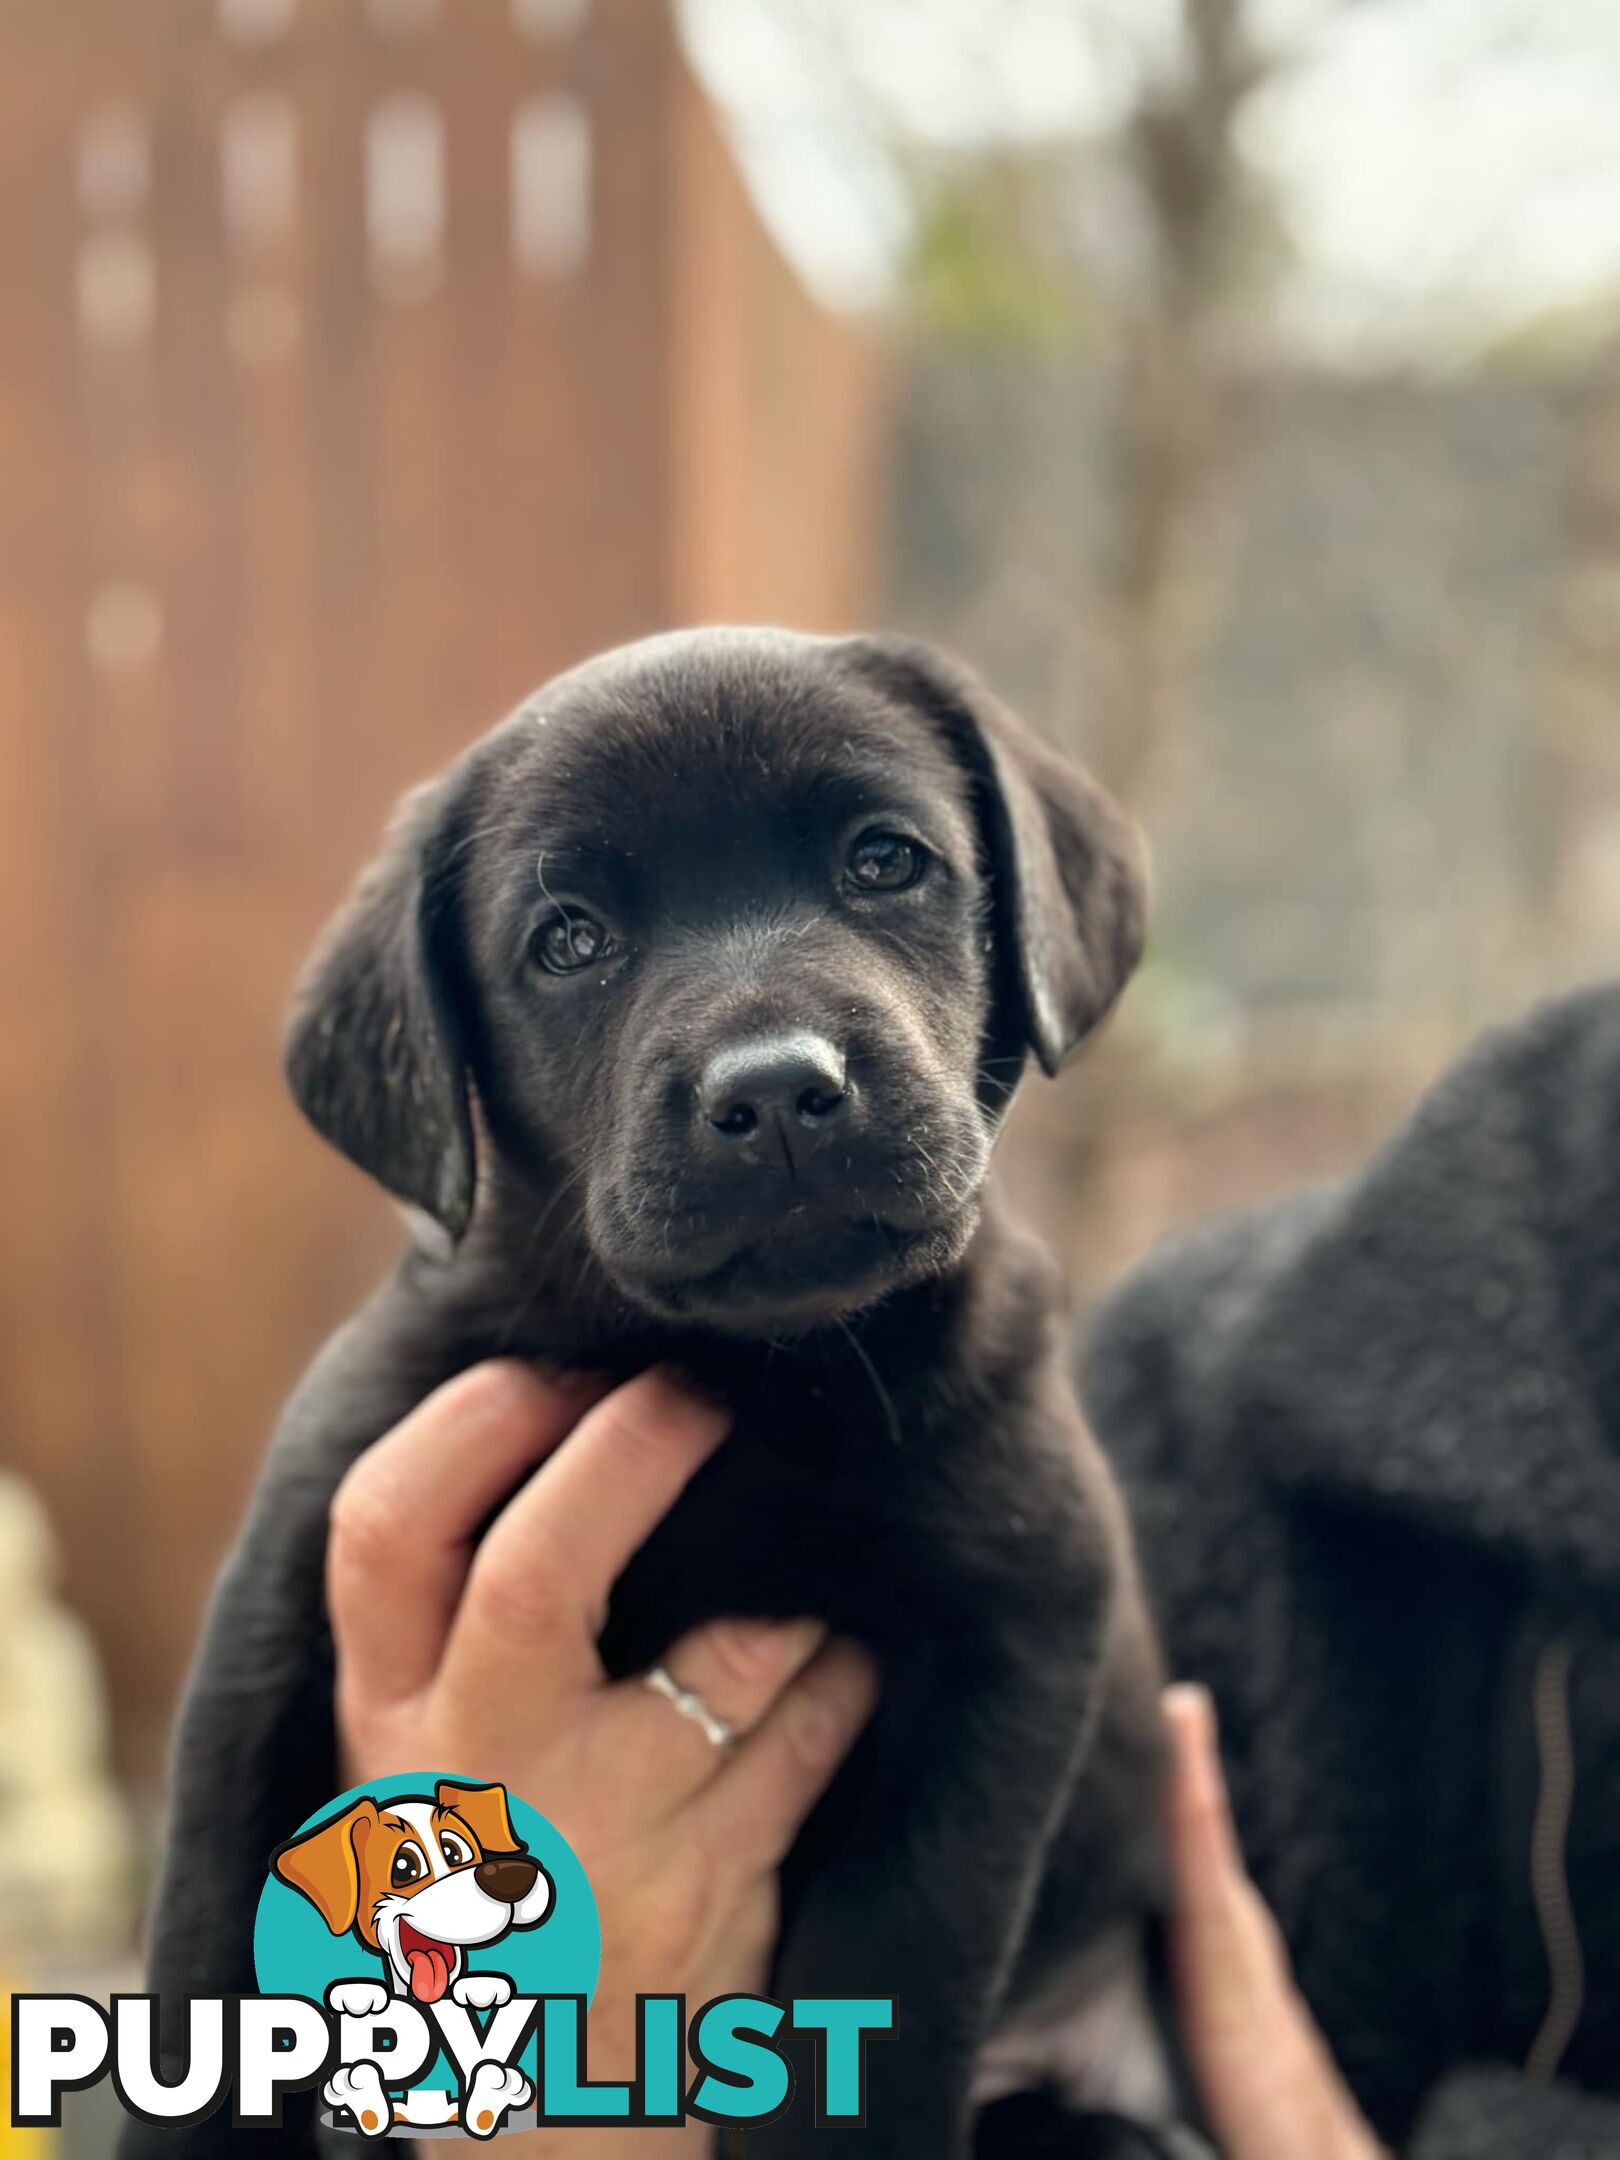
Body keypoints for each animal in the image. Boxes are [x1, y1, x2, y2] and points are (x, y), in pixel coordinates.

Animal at [133, 630, 1200, 2151]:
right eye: (570, 940)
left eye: (887, 861)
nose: (778, 1090)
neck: (753, 1373)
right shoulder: (284, 1597)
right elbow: (211, 1943)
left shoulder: (1013, 1633)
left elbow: (889, 1977)